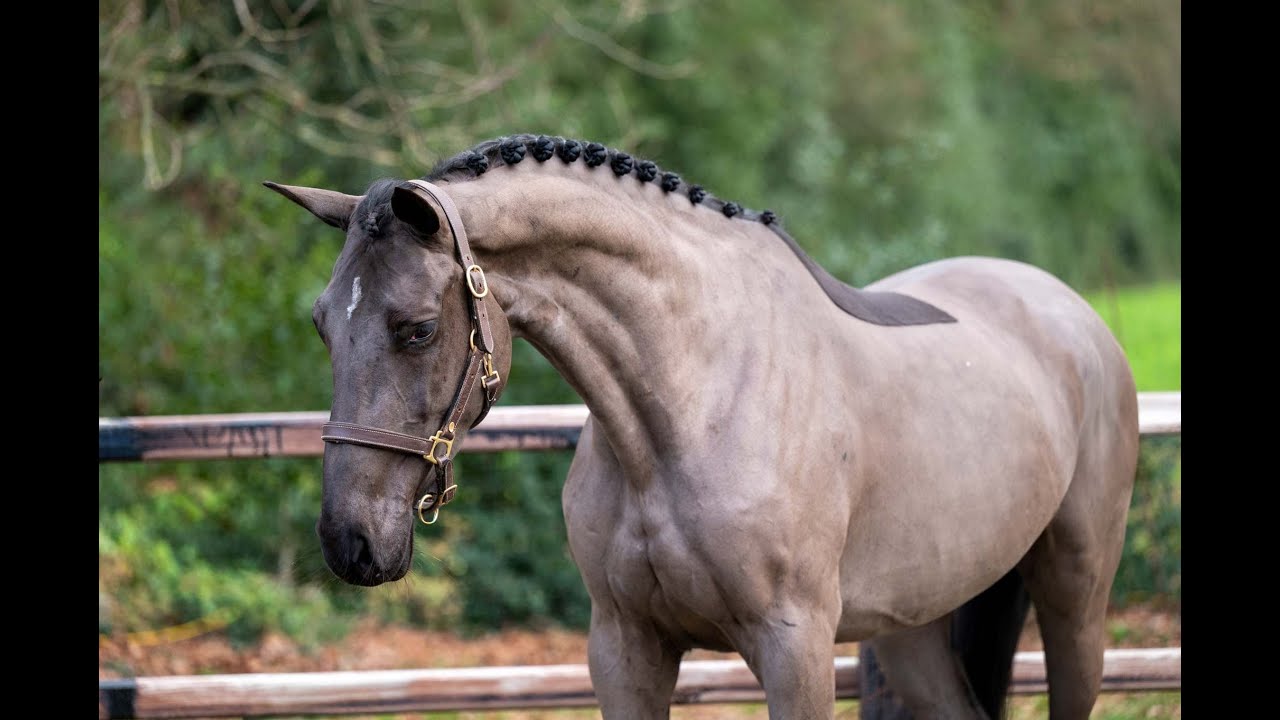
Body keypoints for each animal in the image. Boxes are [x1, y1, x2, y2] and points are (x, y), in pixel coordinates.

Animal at [266, 133, 1138, 719]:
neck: (687, 408)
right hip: (913, 627)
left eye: (415, 329)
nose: (350, 543)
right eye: (320, 324)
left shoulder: (794, 648)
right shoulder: (625, 648)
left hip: (1076, 597)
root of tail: (1071, 312)